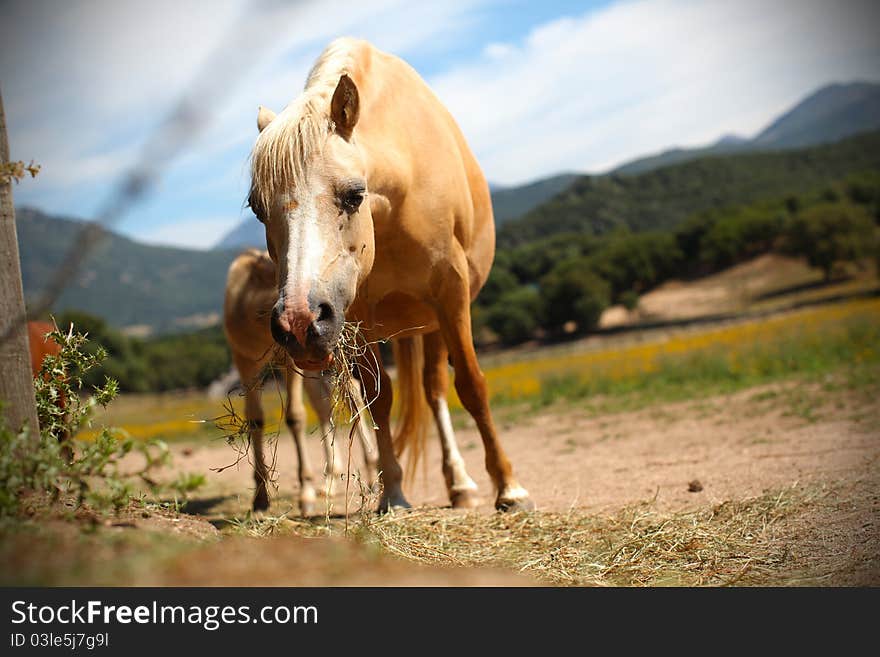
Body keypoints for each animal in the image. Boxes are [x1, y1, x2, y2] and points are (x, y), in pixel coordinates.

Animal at [223, 249, 382, 516]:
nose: (319, 324)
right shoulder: (244, 361)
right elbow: (255, 420)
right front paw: (260, 499)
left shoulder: (291, 361)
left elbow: (295, 416)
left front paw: (305, 495)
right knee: (324, 405)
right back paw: (330, 483)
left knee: (353, 396)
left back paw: (371, 478)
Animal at [248, 38, 532, 512]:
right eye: (257, 209)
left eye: (353, 194)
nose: (299, 324)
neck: (402, 187)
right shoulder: (357, 316)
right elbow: (379, 404)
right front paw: (393, 494)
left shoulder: (452, 294)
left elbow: (471, 386)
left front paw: (509, 488)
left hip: (434, 321)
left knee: (436, 389)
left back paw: (461, 484)